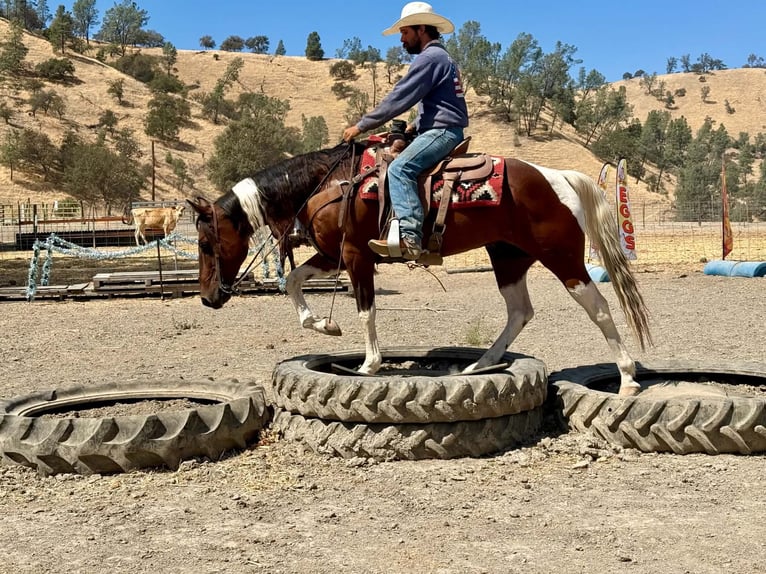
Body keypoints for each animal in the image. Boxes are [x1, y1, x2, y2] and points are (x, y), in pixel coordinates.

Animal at [188, 140, 652, 396]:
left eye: (205, 242)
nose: (207, 298)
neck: (328, 184)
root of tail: (556, 177)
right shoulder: (332, 255)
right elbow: (294, 282)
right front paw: (323, 325)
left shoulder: (356, 256)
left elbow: (366, 310)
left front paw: (369, 364)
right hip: (508, 256)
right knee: (520, 311)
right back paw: (479, 366)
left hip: (563, 258)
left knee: (599, 308)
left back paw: (628, 377)